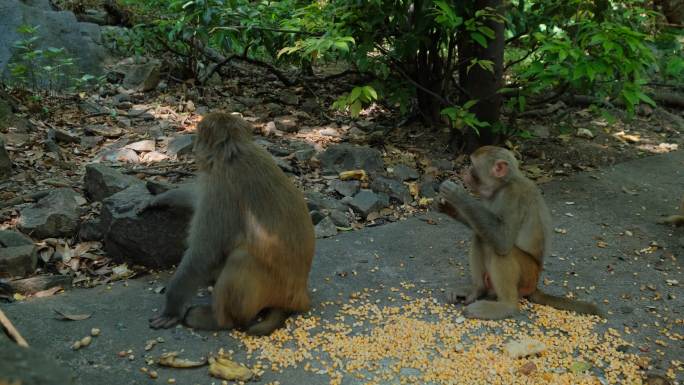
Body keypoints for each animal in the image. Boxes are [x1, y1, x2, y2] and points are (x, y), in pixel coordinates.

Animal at [146, 110, 316, 332]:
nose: (193, 147)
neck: (232, 153)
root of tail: (299, 299)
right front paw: (163, 196)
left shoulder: (221, 188)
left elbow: (204, 253)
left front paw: (171, 309)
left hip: (273, 290)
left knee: (241, 258)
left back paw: (217, 320)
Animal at [438, 145, 604, 318]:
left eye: (472, 165)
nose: (464, 171)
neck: (502, 186)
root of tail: (535, 284)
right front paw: (449, 208)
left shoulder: (513, 196)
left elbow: (503, 241)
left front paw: (457, 194)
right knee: (481, 236)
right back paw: (477, 289)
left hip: (528, 275)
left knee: (497, 249)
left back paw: (506, 306)